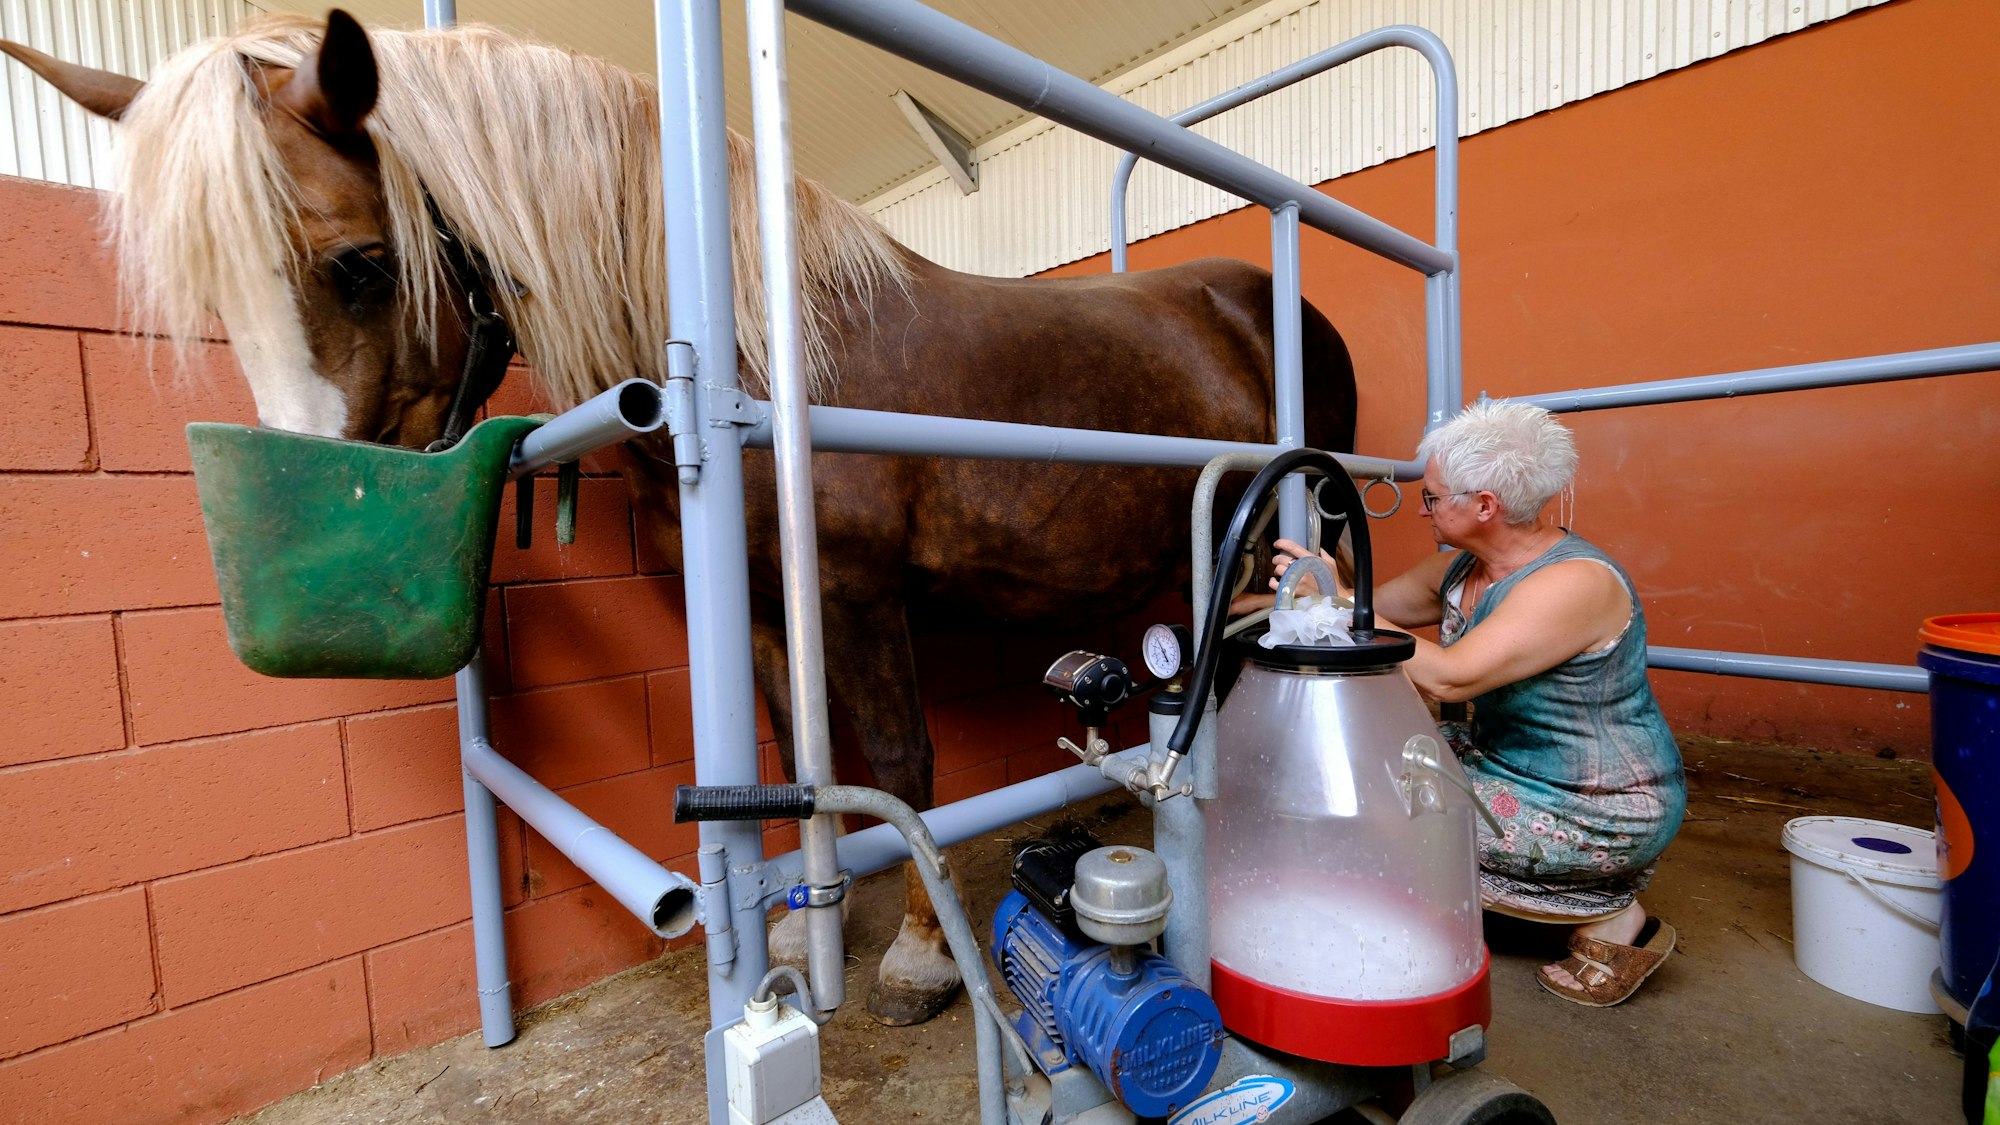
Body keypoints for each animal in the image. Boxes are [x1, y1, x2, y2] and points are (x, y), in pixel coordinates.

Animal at [0, 10, 1356, 1026]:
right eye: (218, 297)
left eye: (361, 263)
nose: (330, 528)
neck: (764, 357)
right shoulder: (760, 606)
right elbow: (797, 760)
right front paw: (800, 945)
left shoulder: (853, 592)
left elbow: (899, 766)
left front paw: (916, 960)